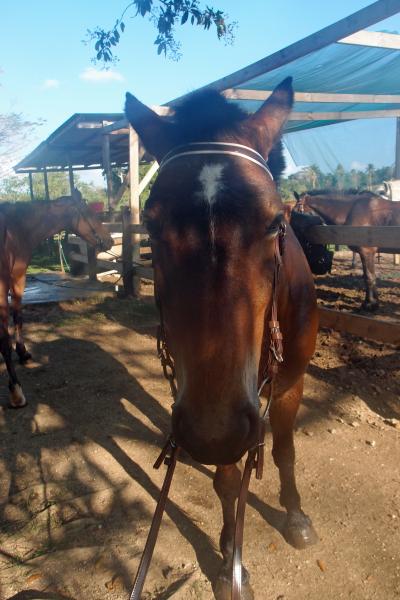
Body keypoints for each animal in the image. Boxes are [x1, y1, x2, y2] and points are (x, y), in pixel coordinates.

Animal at [0, 191, 112, 408]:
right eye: (88, 212)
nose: (109, 240)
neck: (16, 226)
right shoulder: (17, 280)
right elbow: (17, 318)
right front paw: (23, 352)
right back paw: (16, 391)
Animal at [125, 77, 318, 596]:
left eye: (276, 223)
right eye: (151, 225)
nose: (214, 433)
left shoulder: (289, 384)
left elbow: (285, 450)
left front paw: (295, 517)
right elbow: (228, 480)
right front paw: (232, 559)